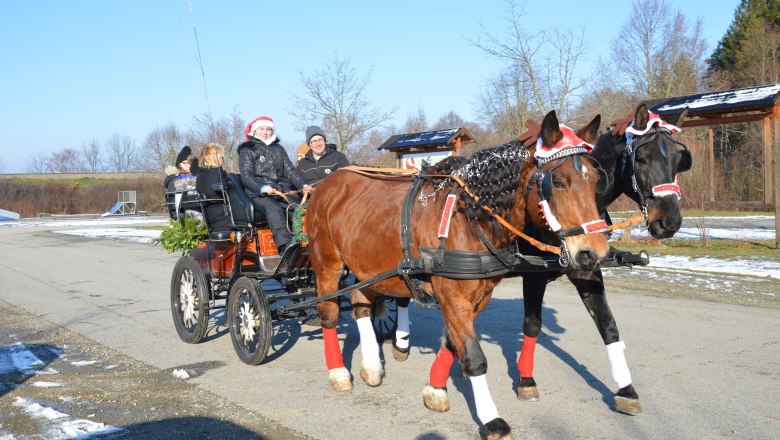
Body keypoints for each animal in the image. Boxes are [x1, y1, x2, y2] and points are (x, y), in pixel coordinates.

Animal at [308, 111, 612, 440]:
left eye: (596, 181)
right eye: (557, 181)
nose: (594, 252)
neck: (468, 216)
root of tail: (328, 183)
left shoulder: (479, 295)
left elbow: (455, 343)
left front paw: (435, 389)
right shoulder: (451, 295)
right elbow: (475, 358)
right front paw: (492, 419)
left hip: (368, 268)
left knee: (360, 303)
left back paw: (372, 367)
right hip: (326, 262)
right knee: (328, 312)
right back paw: (338, 372)